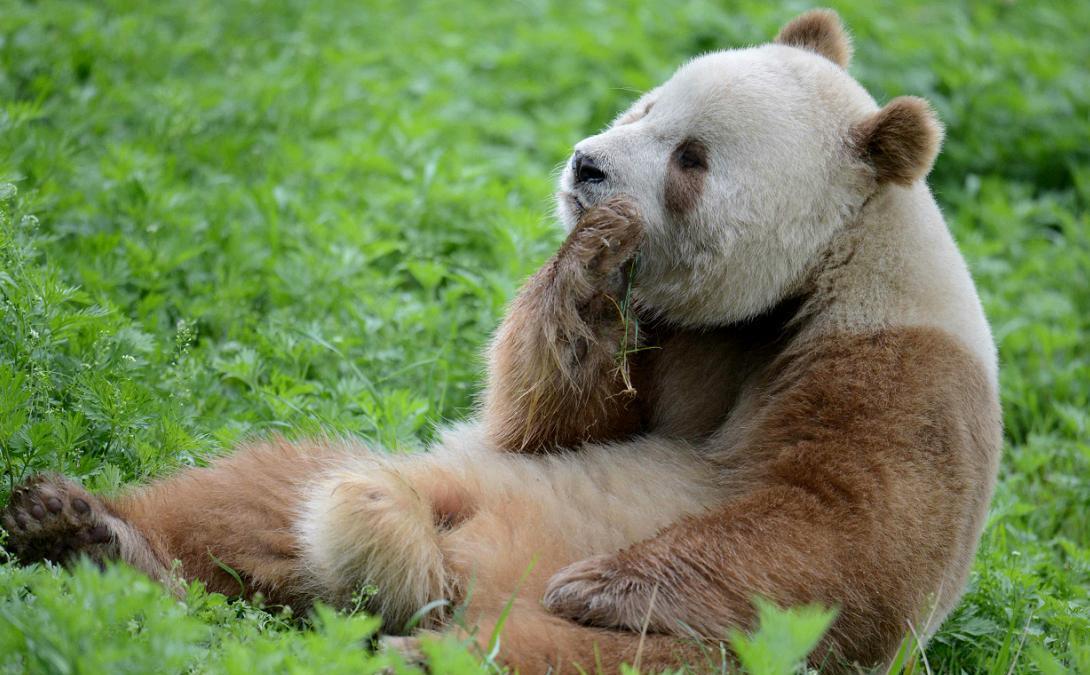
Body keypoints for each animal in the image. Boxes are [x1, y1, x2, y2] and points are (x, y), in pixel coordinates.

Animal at [4, 11, 998, 675]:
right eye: (645, 104)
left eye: (693, 158)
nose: (588, 168)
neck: (801, 282)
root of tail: (444, 577)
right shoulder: (673, 335)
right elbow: (549, 422)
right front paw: (589, 260)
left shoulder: (898, 369)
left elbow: (841, 533)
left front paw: (605, 584)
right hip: (444, 478)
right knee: (258, 493)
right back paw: (85, 533)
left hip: (675, 651)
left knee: (571, 655)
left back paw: (421, 652)